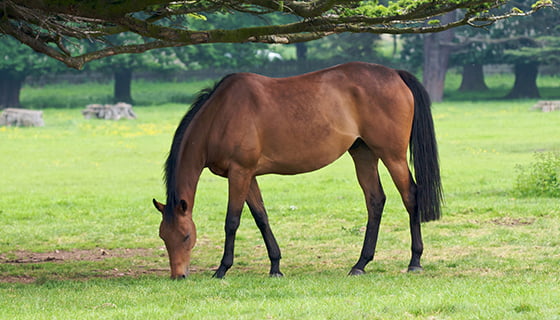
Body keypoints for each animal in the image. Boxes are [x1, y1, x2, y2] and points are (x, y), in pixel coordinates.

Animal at [152, 61, 442, 278]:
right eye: (163, 237)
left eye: (186, 236)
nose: (178, 276)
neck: (220, 115)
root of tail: (395, 74)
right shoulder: (249, 176)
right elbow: (261, 217)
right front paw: (275, 266)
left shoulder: (239, 173)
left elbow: (232, 221)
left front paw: (222, 269)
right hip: (364, 153)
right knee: (375, 200)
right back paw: (360, 264)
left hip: (392, 156)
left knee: (410, 196)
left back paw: (414, 261)